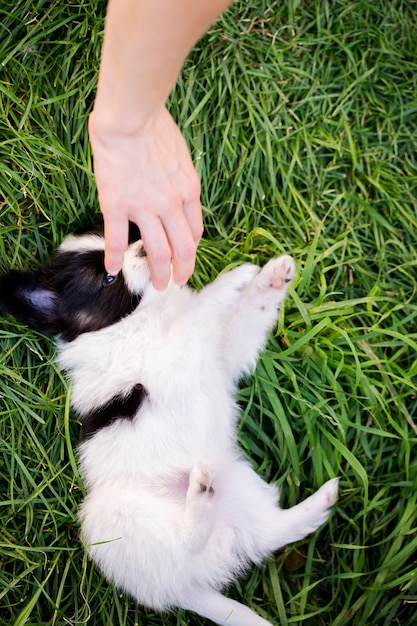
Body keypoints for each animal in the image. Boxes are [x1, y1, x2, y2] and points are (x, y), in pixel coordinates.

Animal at [0, 229, 338, 624]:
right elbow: (199, 313)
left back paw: (321, 500)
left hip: (238, 488)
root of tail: (185, 591)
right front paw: (233, 279)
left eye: (128, 237)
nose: (146, 248)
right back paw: (200, 502)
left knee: (268, 534)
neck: (133, 319)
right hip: (113, 516)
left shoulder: (220, 356)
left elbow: (241, 319)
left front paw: (270, 277)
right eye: (108, 278)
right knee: (189, 544)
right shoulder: (169, 355)